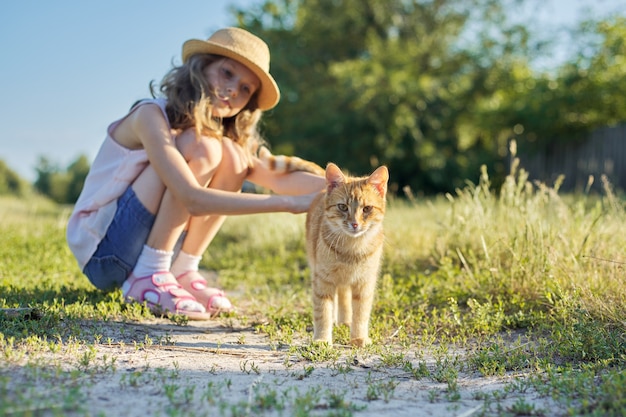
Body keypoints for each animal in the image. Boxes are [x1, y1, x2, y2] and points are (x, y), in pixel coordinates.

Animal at [304, 162, 388, 348]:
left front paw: (358, 337)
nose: (354, 224)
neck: (352, 249)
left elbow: (361, 314)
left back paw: (345, 322)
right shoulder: (323, 280)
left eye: (367, 208)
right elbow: (323, 312)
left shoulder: (364, 283)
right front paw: (322, 339)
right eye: (343, 207)